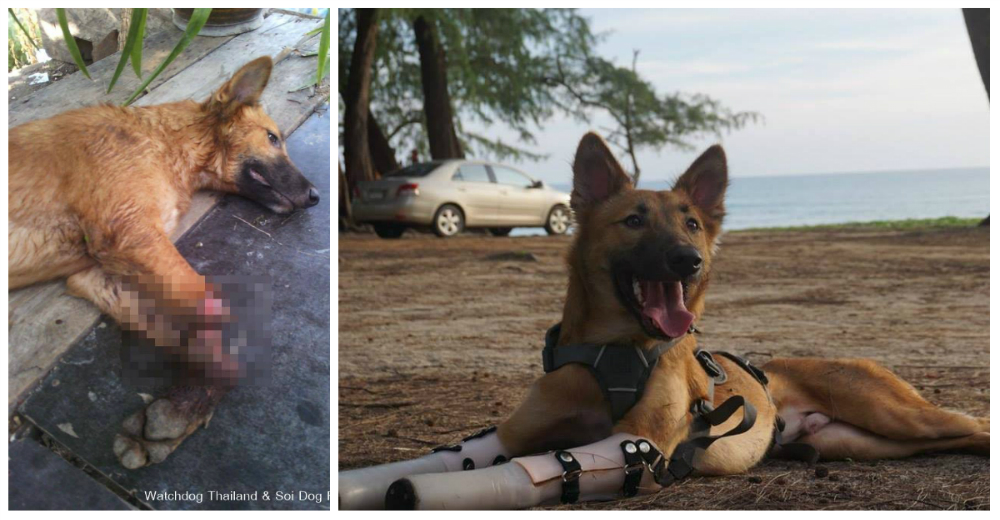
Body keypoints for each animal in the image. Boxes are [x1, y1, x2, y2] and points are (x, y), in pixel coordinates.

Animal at [340, 132, 988, 510]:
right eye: (633, 220)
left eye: (692, 224)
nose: (688, 259)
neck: (613, 349)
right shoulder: (512, 435)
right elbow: (456, 456)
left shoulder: (643, 443)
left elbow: (557, 462)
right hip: (863, 443)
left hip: (895, 414)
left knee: (973, 423)